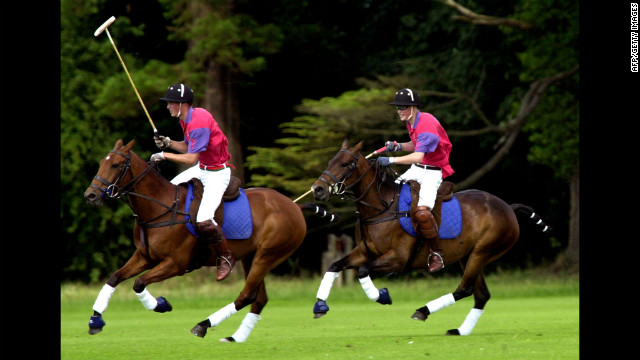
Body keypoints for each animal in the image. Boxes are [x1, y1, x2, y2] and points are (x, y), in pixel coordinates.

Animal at [84, 139, 338, 344]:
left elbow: (138, 283)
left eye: (115, 165)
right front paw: (95, 320)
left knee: (247, 295)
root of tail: (294, 206)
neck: (159, 208)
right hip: (251, 256)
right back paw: (235, 338)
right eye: (101, 162)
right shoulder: (144, 256)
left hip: (269, 254)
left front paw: (161, 305)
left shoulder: (176, 263)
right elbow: (115, 277)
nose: (91, 195)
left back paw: (203, 325)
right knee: (259, 298)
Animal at [310, 139, 552, 336]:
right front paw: (320, 306)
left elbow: (362, 271)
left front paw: (383, 296)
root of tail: (509, 208)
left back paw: (423, 310)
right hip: (469, 255)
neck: (382, 207)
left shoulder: (398, 259)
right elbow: (334, 265)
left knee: (465, 289)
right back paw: (460, 331)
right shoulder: (364, 252)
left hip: (482, 251)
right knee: (481, 294)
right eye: (331, 161)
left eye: (344, 164)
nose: (318, 189)